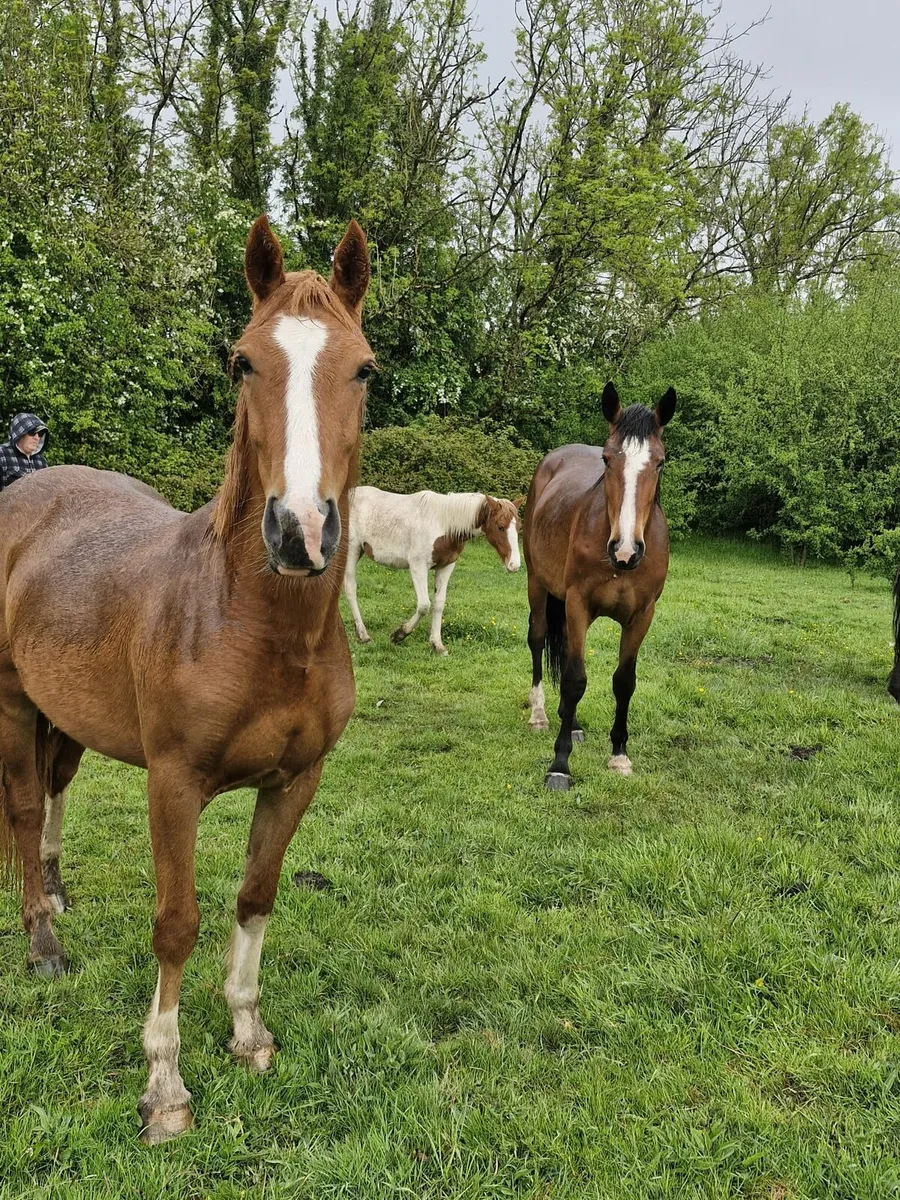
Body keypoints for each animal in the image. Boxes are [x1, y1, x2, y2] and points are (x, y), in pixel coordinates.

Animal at [0, 214, 375, 1143]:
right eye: (244, 361)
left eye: (364, 368)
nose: (300, 532)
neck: (256, 625)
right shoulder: (172, 784)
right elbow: (177, 923)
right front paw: (164, 1084)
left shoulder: (297, 779)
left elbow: (254, 896)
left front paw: (247, 1030)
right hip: (13, 702)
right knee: (22, 809)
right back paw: (42, 943)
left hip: (69, 718)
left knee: (54, 793)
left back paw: (56, 894)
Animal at [342, 486, 522, 654]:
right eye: (500, 527)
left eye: (518, 526)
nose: (514, 565)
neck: (444, 523)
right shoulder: (418, 566)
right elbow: (424, 605)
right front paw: (399, 634)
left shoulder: (445, 567)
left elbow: (438, 603)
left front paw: (437, 644)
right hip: (351, 551)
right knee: (350, 588)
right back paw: (363, 636)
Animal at [523, 381, 676, 790]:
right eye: (607, 460)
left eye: (659, 462)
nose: (626, 550)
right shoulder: (578, 604)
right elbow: (575, 679)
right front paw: (560, 765)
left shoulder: (642, 615)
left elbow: (624, 681)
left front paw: (619, 755)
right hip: (538, 585)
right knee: (539, 640)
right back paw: (540, 714)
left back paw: (572, 723)